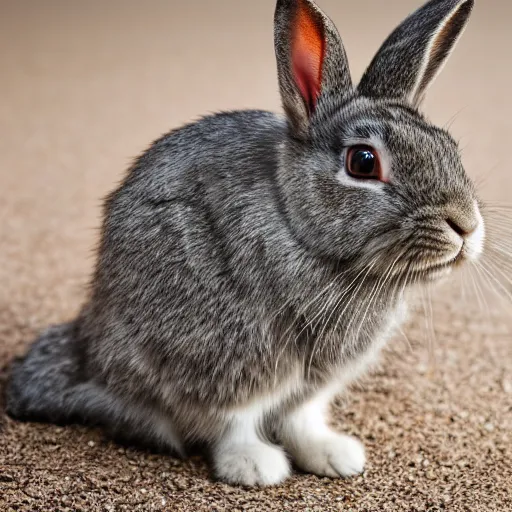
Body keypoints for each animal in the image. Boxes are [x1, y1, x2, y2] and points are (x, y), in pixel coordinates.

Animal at [7, 0, 484, 488]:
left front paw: (334, 456)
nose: (465, 226)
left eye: (449, 146)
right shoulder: (232, 362)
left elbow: (301, 417)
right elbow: (233, 419)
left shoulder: (314, 381)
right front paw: (256, 467)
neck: (300, 231)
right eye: (363, 162)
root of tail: (89, 357)